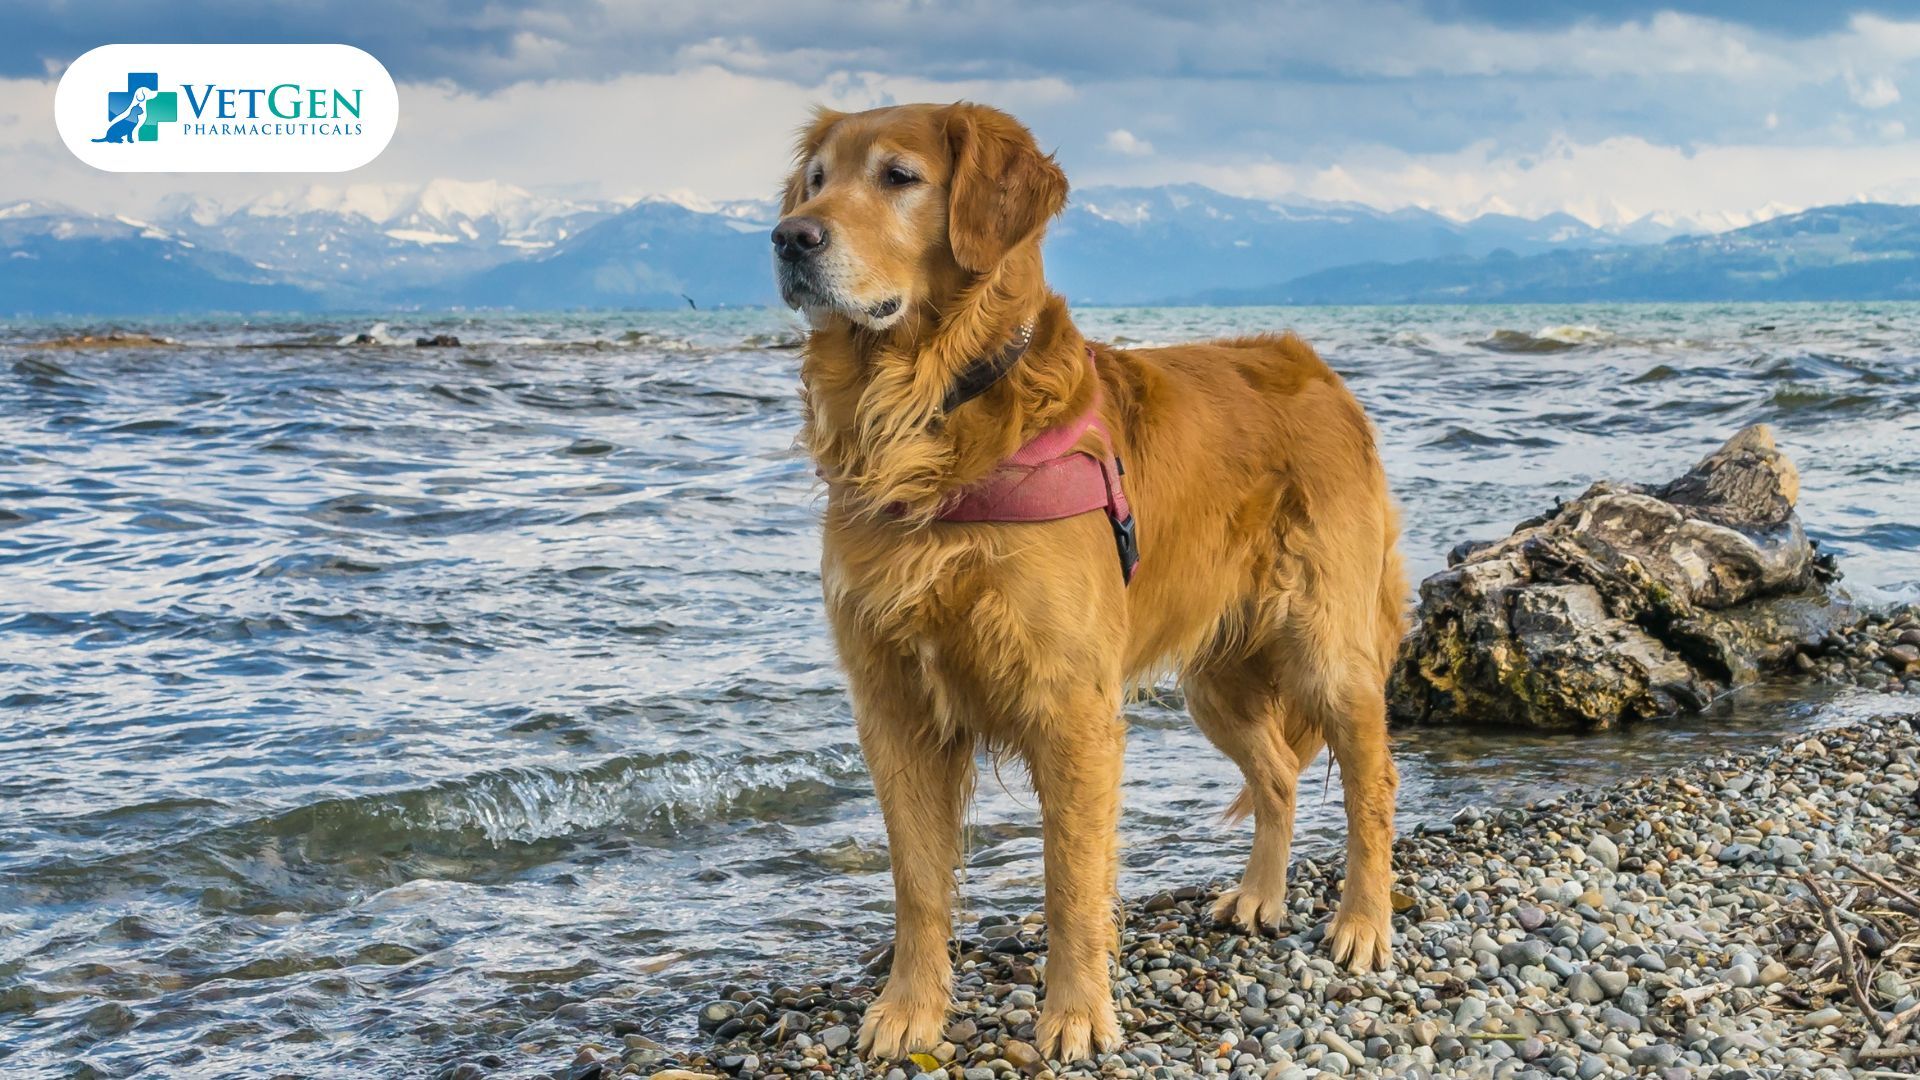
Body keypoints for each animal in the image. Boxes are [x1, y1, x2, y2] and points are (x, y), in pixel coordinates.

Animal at [771, 100, 1405, 1060]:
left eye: (898, 177)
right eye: (815, 181)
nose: (788, 238)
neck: (934, 410)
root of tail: (1318, 370)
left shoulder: (1069, 706)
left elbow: (1070, 880)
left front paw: (1073, 1014)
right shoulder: (894, 706)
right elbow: (916, 881)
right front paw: (909, 1011)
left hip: (1326, 648)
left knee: (1372, 785)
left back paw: (1364, 924)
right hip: (1213, 681)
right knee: (1278, 776)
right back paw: (1261, 895)